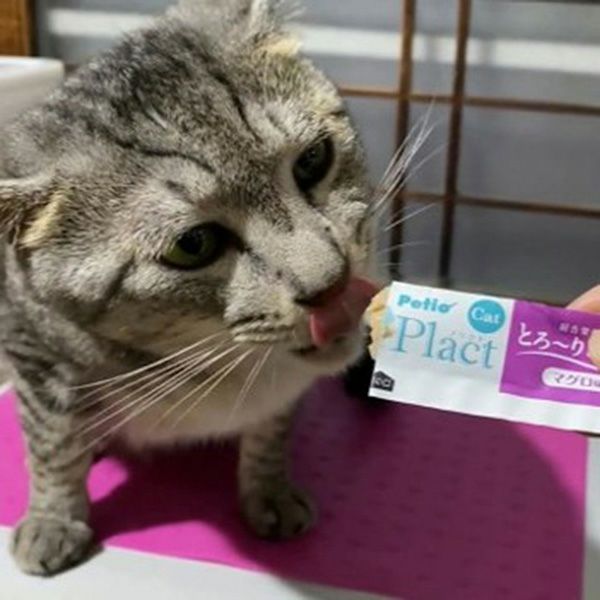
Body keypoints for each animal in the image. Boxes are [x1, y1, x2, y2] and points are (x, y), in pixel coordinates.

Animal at [0, 0, 382, 575]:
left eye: (313, 160)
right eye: (194, 244)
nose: (331, 284)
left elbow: (271, 431)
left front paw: (269, 490)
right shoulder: (35, 355)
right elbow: (51, 445)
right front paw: (53, 519)